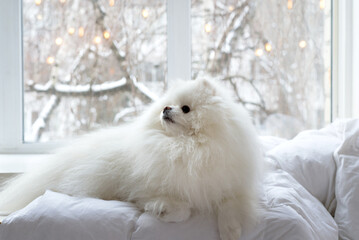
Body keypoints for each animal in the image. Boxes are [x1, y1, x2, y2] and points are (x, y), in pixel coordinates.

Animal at [0, 79, 264, 240]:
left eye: (186, 108)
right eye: (168, 104)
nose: (165, 109)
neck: (185, 148)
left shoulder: (228, 181)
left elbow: (230, 204)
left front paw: (231, 231)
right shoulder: (145, 188)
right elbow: (181, 209)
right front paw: (163, 210)